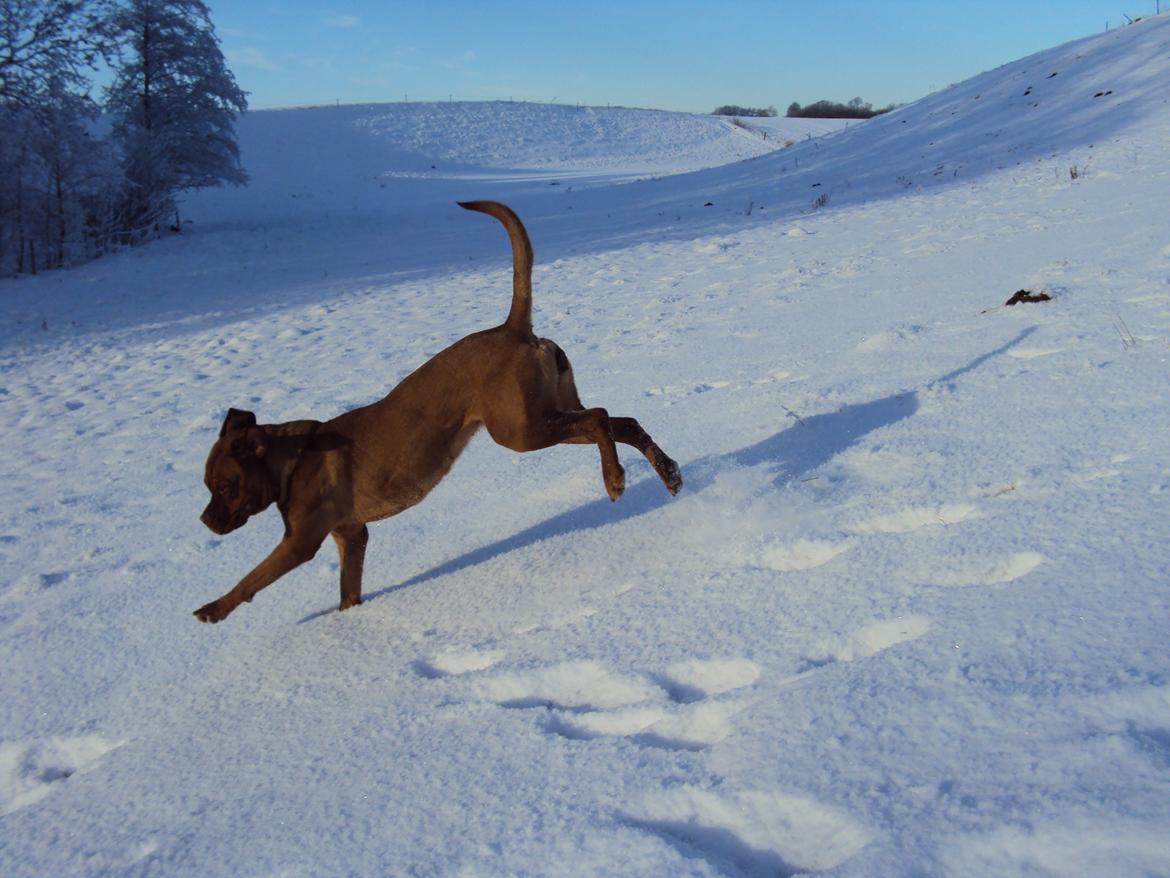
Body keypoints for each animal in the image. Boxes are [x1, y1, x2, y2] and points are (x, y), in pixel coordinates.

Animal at [195, 202, 683, 622]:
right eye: (208, 485)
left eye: (225, 486)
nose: (204, 520)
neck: (292, 461)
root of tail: (513, 329)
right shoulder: (352, 535)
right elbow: (348, 592)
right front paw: (349, 623)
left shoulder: (301, 541)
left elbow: (251, 578)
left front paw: (213, 609)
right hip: (547, 412)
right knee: (622, 422)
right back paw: (668, 472)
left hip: (521, 431)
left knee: (600, 417)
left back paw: (615, 479)